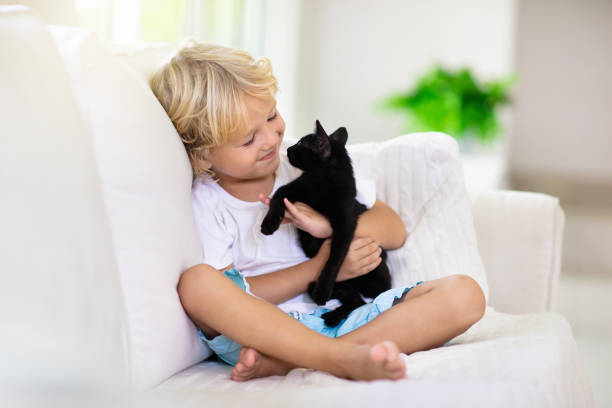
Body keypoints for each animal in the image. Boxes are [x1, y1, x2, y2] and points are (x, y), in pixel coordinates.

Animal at [260, 119, 390, 326]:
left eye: (301, 143)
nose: (288, 148)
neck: (323, 179)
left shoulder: (345, 227)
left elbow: (334, 260)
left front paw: (323, 290)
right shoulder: (295, 188)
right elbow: (278, 194)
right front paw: (269, 223)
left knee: (361, 302)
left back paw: (328, 306)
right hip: (344, 285)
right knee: (358, 302)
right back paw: (332, 315)